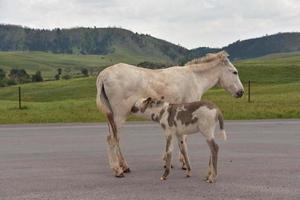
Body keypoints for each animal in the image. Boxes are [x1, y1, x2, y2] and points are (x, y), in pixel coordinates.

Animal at [96, 50, 244, 177]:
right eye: (234, 72)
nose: (241, 92)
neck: (195, 78)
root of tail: (103, 75)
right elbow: (184, 139)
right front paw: (183, 164)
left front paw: (169, 162)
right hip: (120, 115)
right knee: (111, 139)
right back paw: (117, 170)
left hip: (112, 117)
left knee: (116, 138)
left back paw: (124, 166)